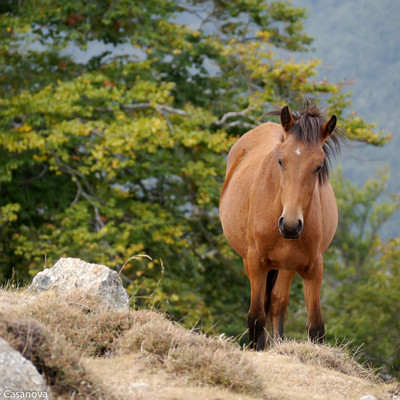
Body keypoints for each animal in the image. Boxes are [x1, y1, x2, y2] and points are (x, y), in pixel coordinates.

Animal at [219, 101, 344, 348]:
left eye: (318, 166)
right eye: (280, 161)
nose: (290, 225)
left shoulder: (314, 267)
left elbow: (316, 327)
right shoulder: (256, 262)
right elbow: (255, 319)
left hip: (287, 266)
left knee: (277, 302)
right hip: (252, 262)